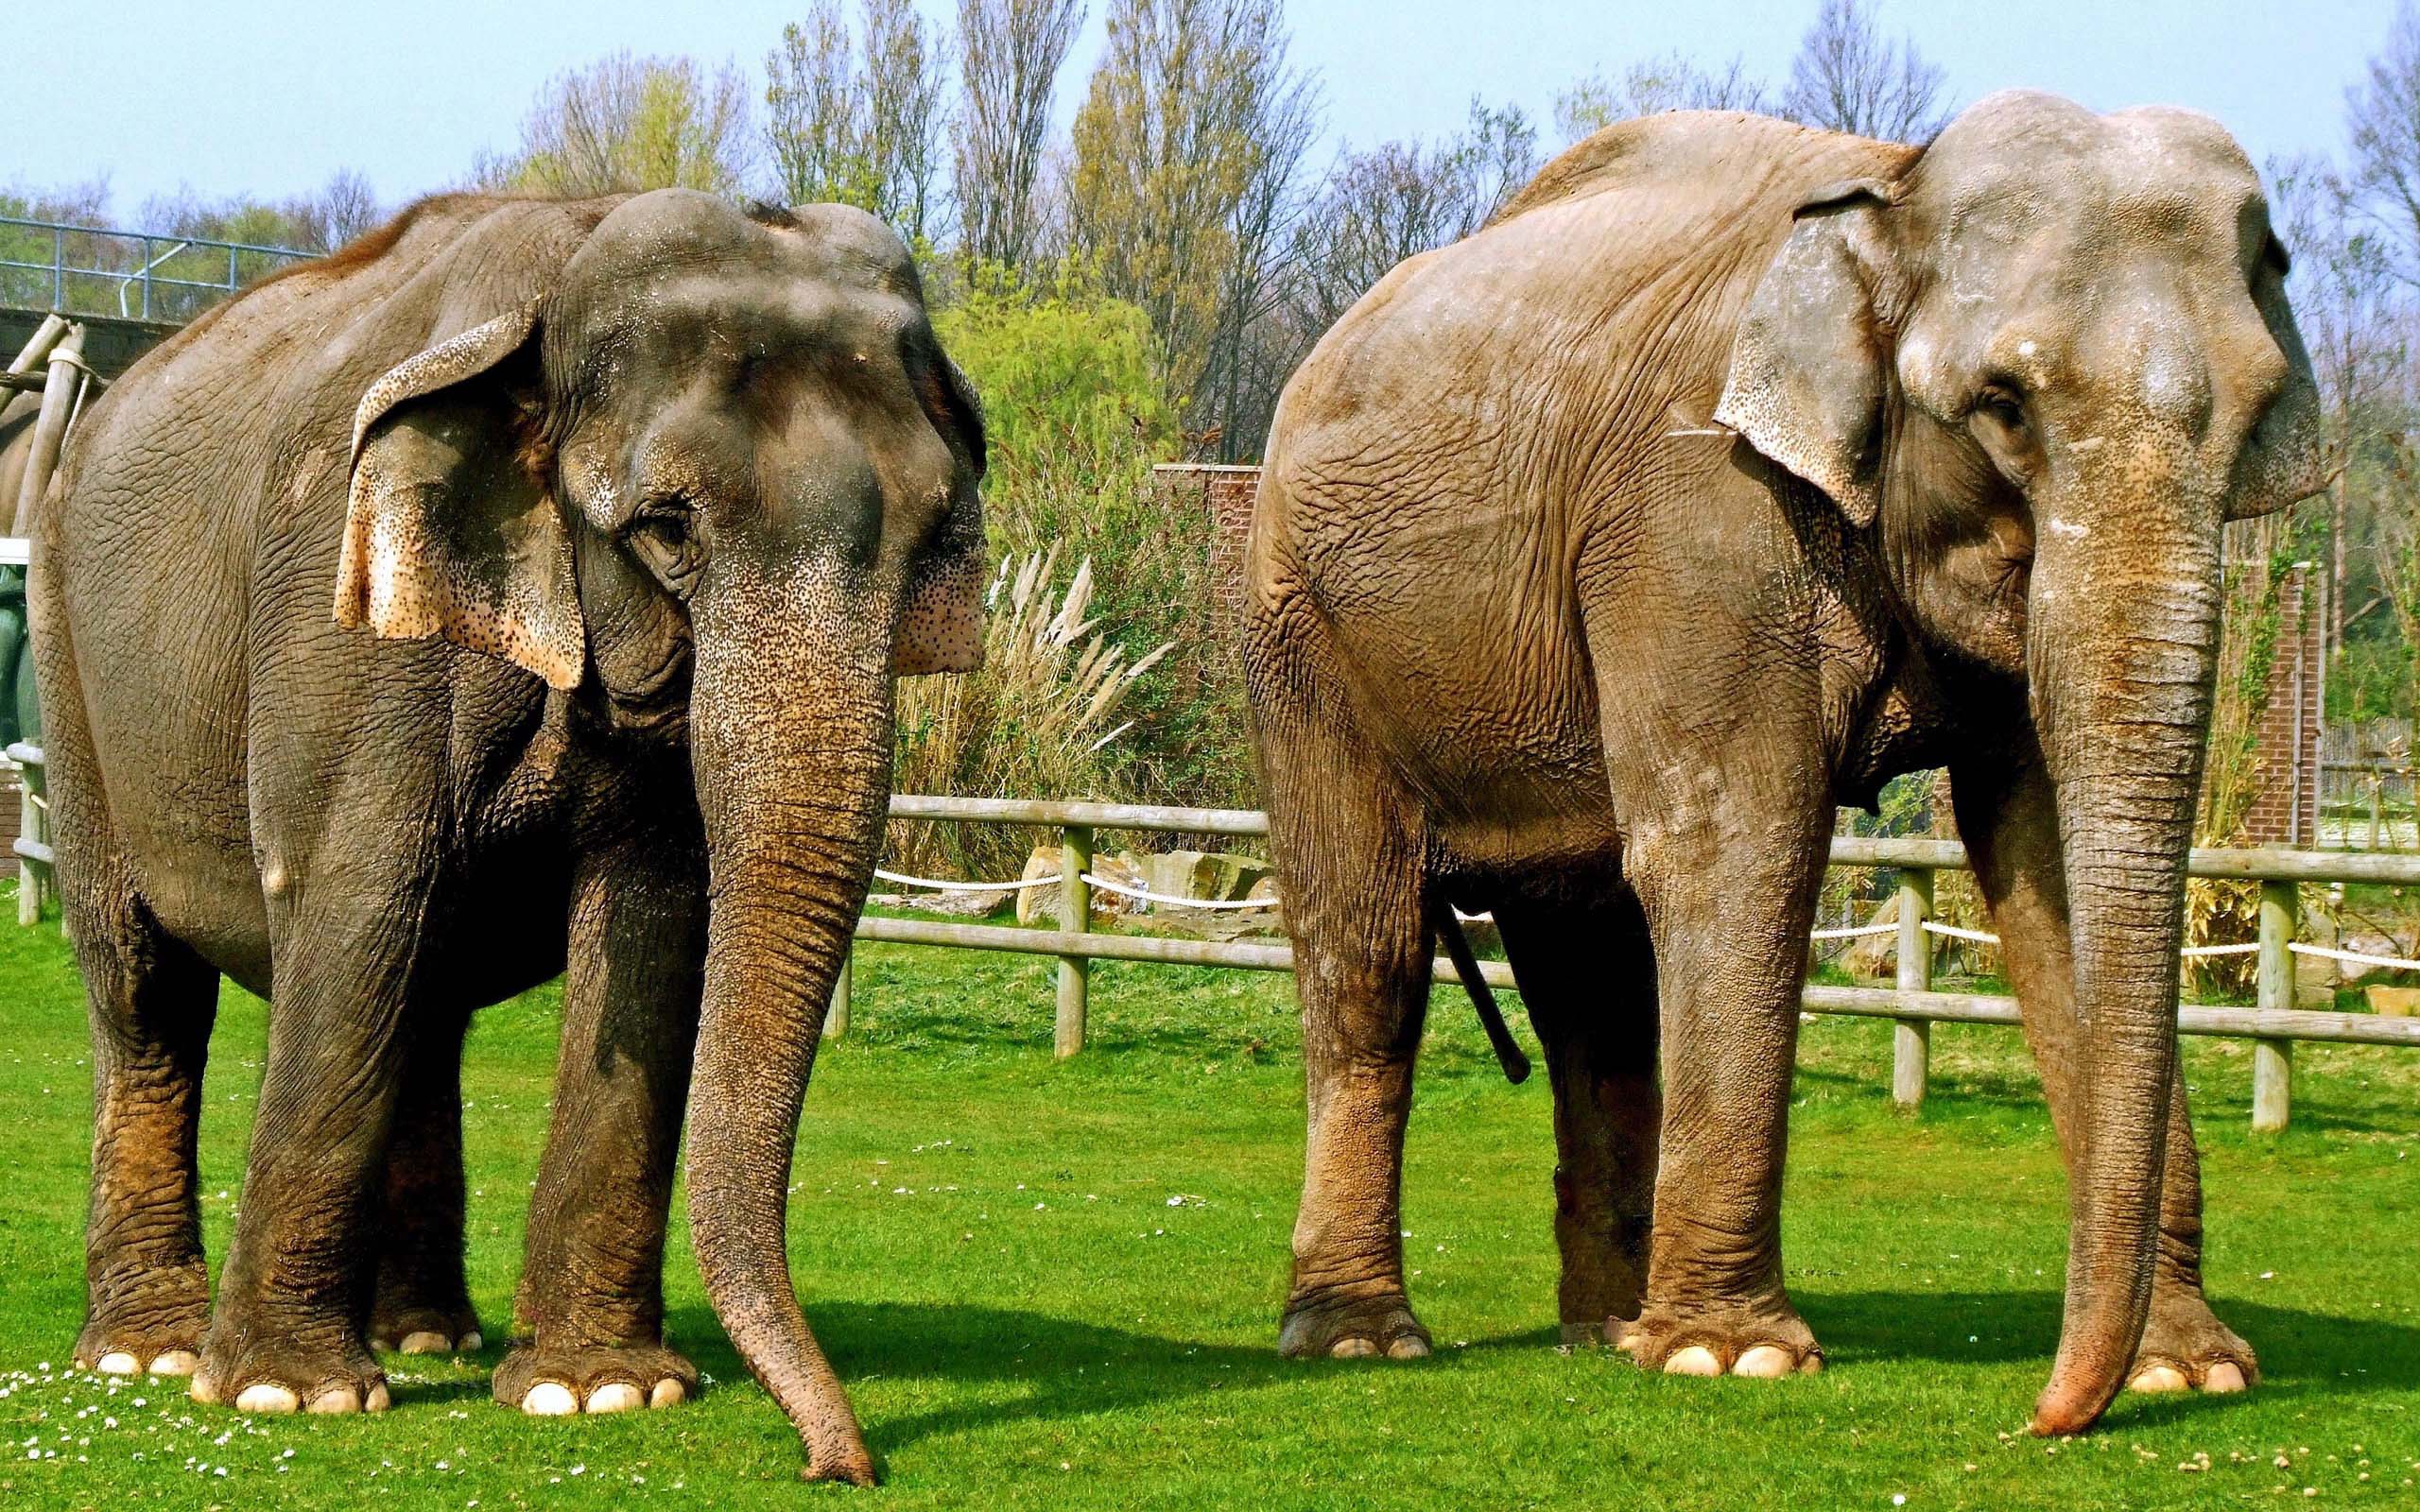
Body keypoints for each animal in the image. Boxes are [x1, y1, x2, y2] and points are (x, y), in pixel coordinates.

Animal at [35, 182, 982, 1480]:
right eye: (667, 528)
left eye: (932, 534)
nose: (840, 1466)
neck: (564, 270)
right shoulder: (339, 614)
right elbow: (351, 894)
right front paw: (286, 1395)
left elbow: (648, 926)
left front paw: (599, 1391)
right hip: (72, 677)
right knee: (148, 996)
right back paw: (148, 1353)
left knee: (418, 1003)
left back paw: (429, 1333)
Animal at [1248, 88, 2323, 1432]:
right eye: (2003, 403)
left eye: (2254, 410)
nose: (2043, 1414)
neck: (1896, 181)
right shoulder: (1697, 511)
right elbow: (1739, 847)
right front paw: (1732, 1359)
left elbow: (2051, 875)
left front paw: (2193, 1369)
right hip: (1303, 641)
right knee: (1371, 952)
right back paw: (1362, 1341)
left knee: (1593, 980)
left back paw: (1607, 1332)